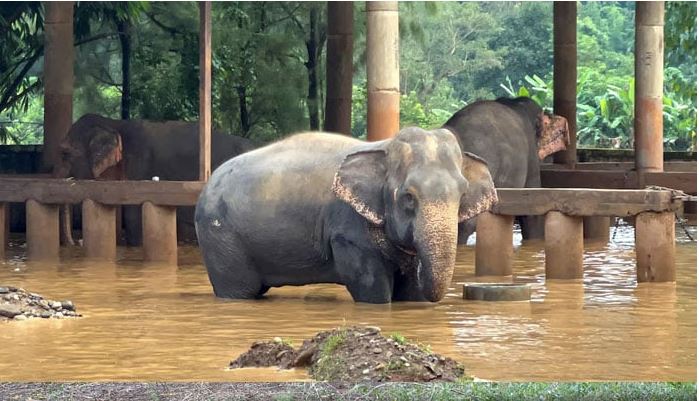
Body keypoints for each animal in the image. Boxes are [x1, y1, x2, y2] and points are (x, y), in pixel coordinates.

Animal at [195, 127, 497, 304]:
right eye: (408, 197)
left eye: (462, 194)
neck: (384, 147)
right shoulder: (347, 228)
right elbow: (372, 288)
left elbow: (411, 292)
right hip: (220, 237)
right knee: (240, 290)